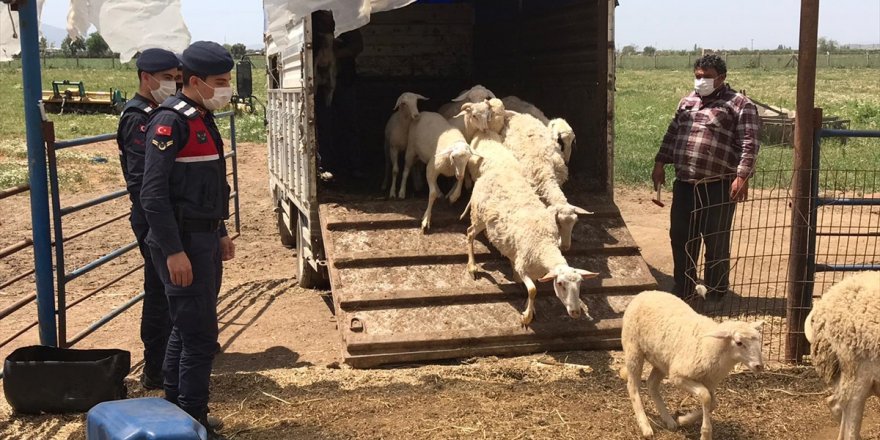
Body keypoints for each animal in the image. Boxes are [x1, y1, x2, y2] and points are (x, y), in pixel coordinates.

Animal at [620, 288, 764, 440]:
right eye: (739, 342)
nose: (759, 366)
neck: (710, 345)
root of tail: (646, 292)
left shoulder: (708, 381)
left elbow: (713, 403)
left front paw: (684, 420)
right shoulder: (678, 377)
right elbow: (705, 397)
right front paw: (705, 433)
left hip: (662, 361)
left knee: (651, 384)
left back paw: (669, 420)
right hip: (633, 349)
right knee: (633, 386)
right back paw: (645, 425)